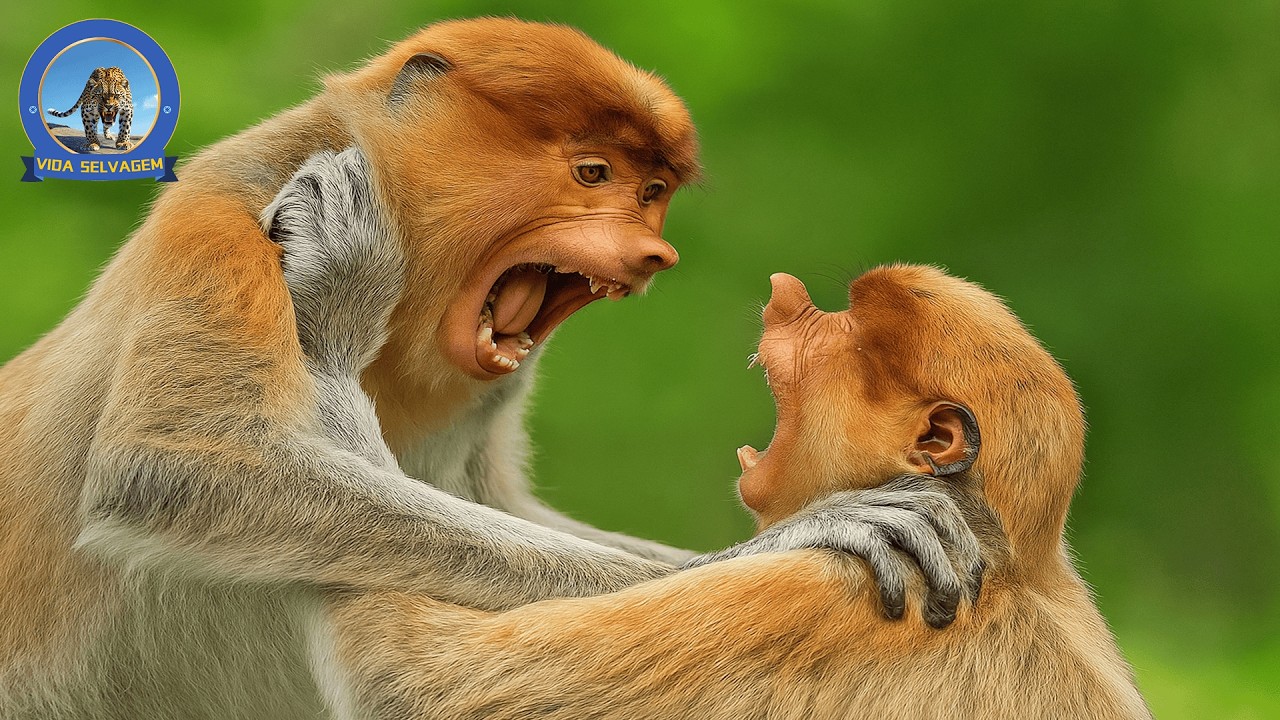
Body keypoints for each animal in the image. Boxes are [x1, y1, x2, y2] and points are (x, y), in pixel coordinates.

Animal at [0, 19, 984, 719]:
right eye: (592, 173)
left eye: (651, 190)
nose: (652, 252)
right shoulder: (221, 226)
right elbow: (181, 468)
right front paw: (806, 536)